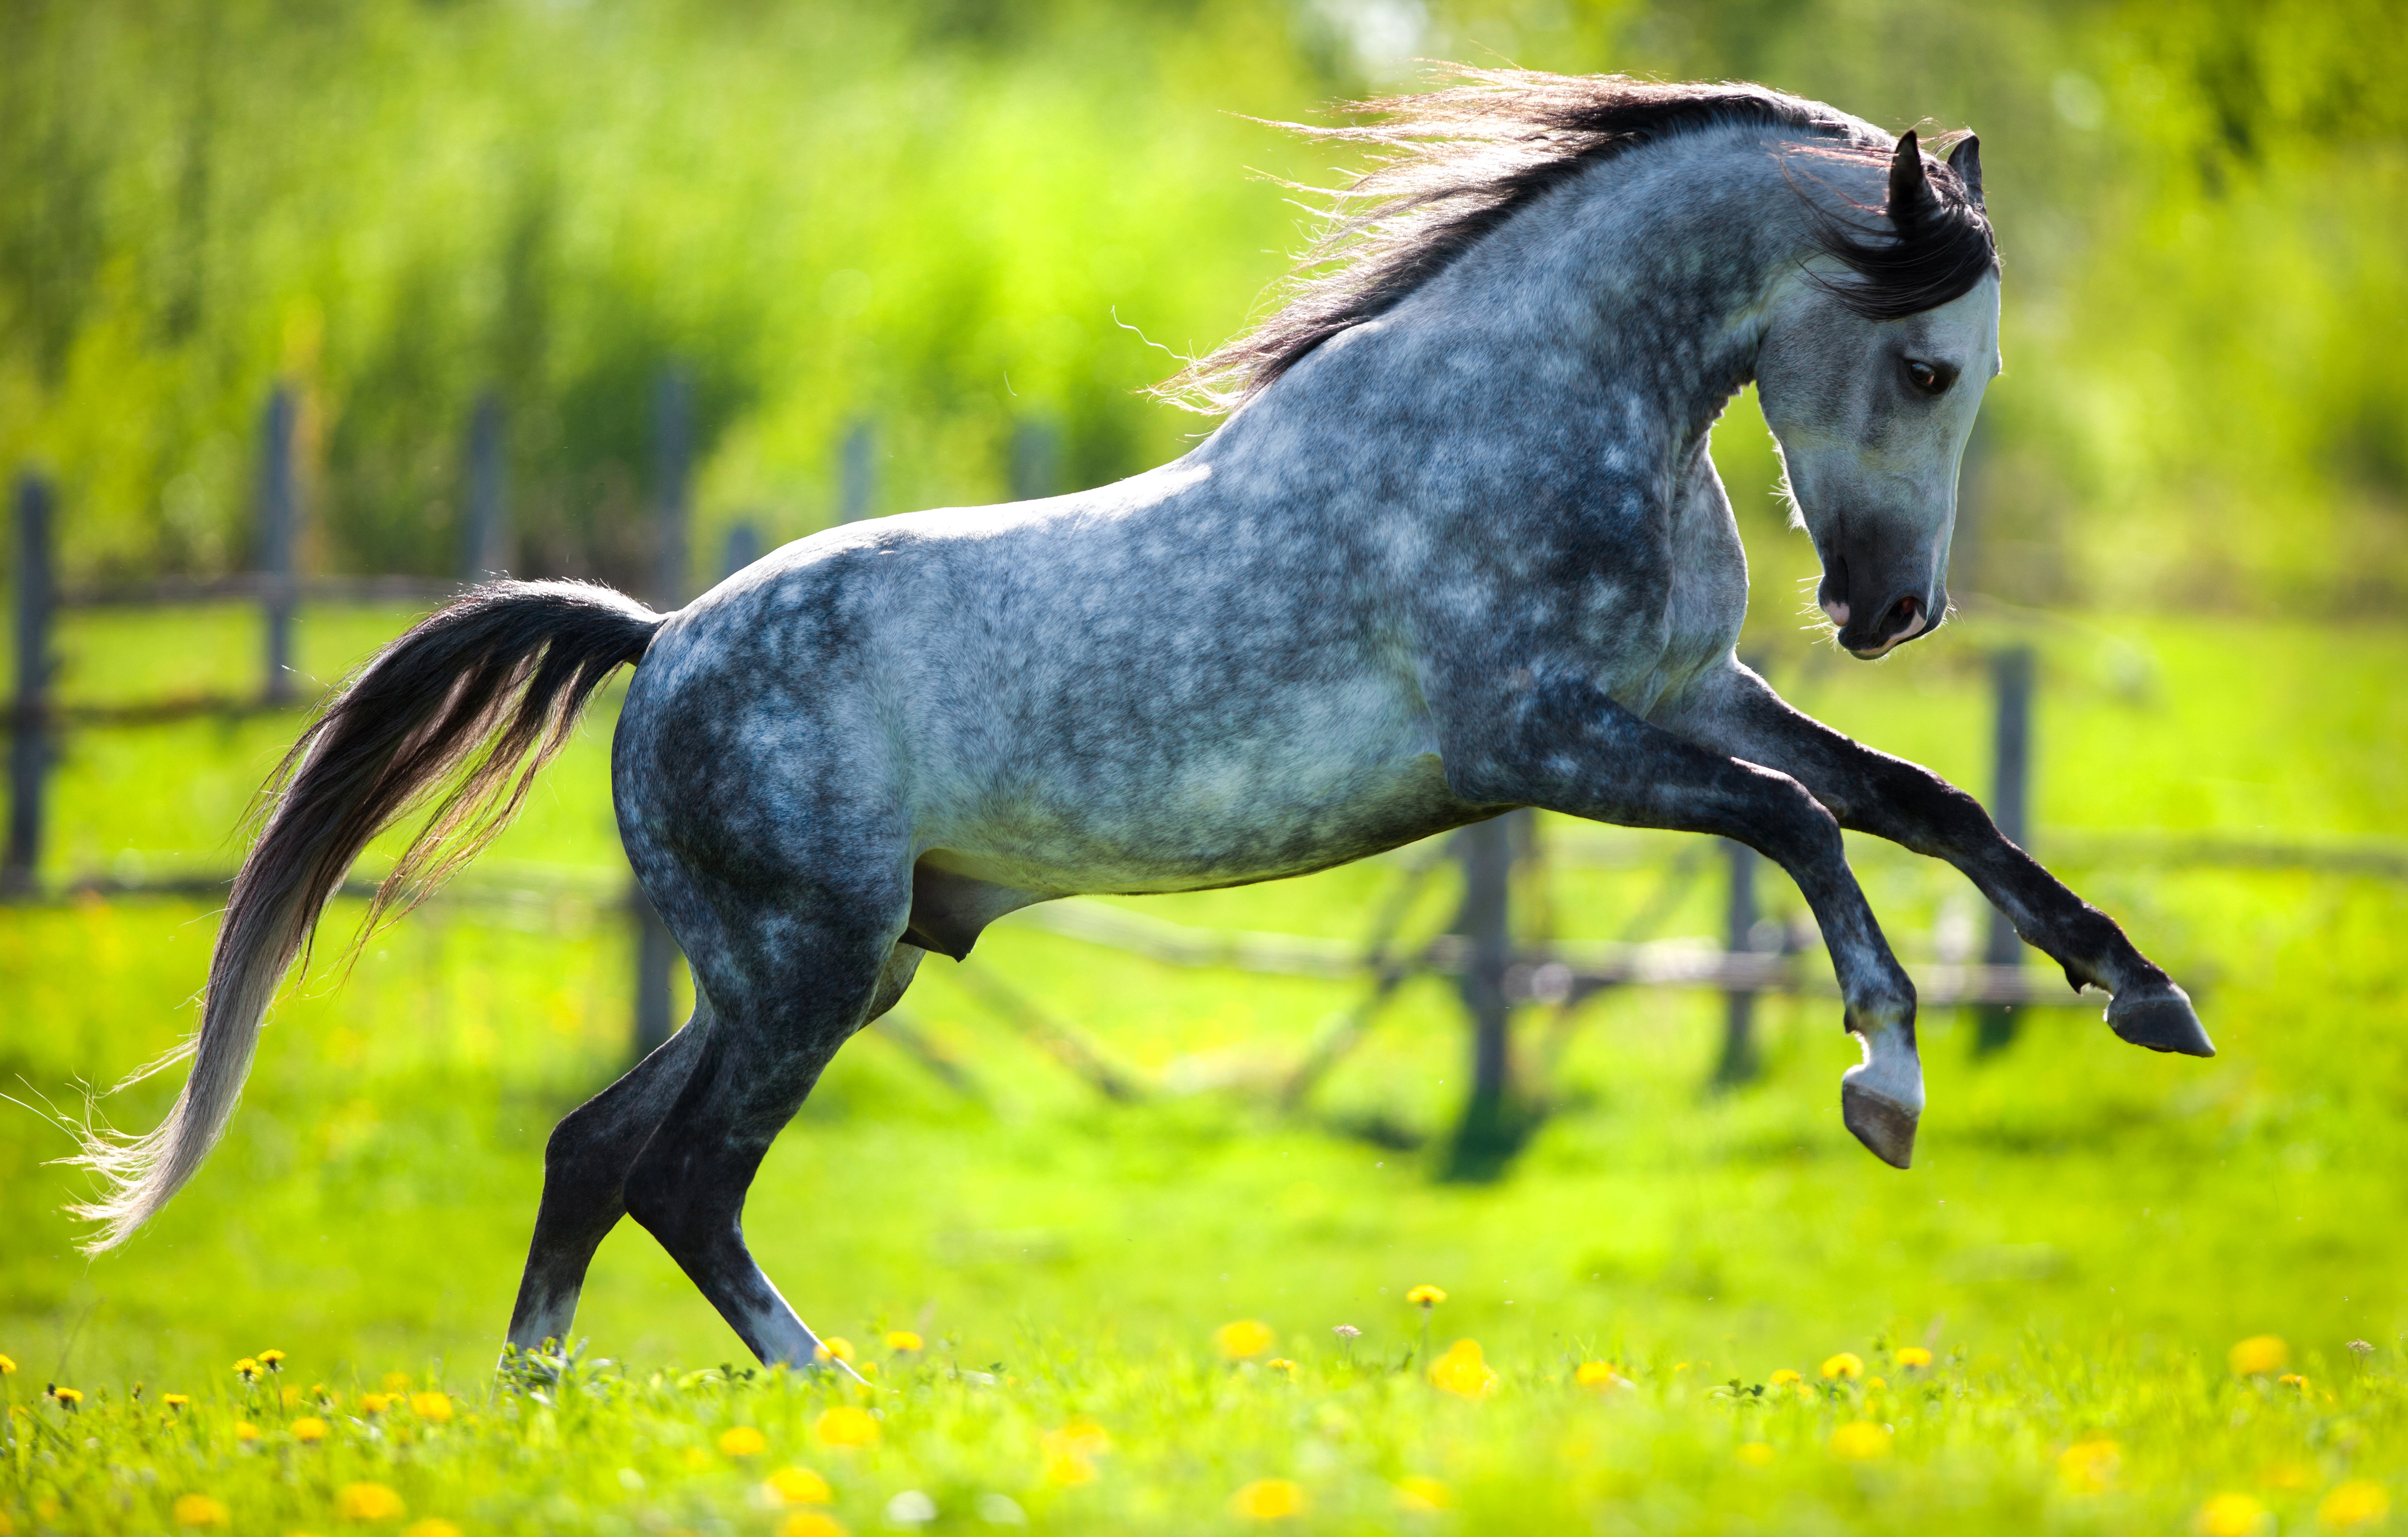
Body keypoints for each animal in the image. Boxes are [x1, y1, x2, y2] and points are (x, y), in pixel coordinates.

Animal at [68, 72, 2212, 1369]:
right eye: (1928, 364)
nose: (1888, 611)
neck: (1547, 412)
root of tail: (661, 638)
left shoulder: (1689, 696)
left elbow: (1926, 805)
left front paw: (2145, 996)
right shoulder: (1543, 745)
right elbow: (1804, 827)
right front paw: (1884, 1083)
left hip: (831, 964)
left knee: (596, 1152)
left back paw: (556, 1404)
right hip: (806, 968)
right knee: (680, 1177)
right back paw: (827, 1396)